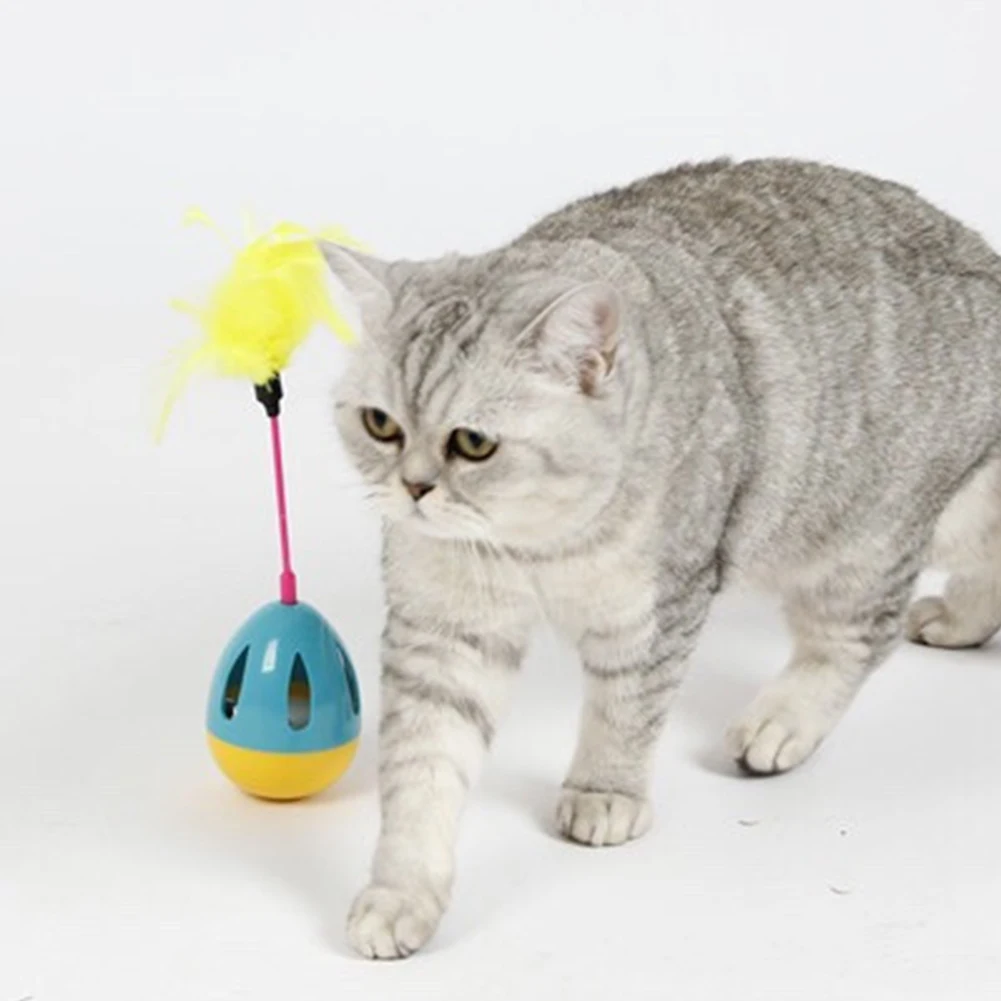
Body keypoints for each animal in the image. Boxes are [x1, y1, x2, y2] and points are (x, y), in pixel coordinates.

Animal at [321, 158, 1001, 959]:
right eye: (380, 424)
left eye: (473, 442)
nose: (413, 486)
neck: (536, 544)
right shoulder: (443, 630)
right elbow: (423, 770)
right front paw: (400, 892)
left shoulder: (652, 608)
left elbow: (624, 713)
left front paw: (605, 792)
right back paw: (960, 620)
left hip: (860, 535)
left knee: (858, 637)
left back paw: (780, 723)